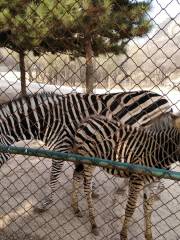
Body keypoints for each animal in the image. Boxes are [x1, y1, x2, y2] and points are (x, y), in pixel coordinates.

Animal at [0, 90, 172, 210]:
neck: (47, 121)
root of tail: (164, 99)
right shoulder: (77, 148)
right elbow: (83, 170)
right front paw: (92, 189)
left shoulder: (61, 147)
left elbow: (53, 176)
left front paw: (47, 202)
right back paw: (125, 188)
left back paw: (154, 194)